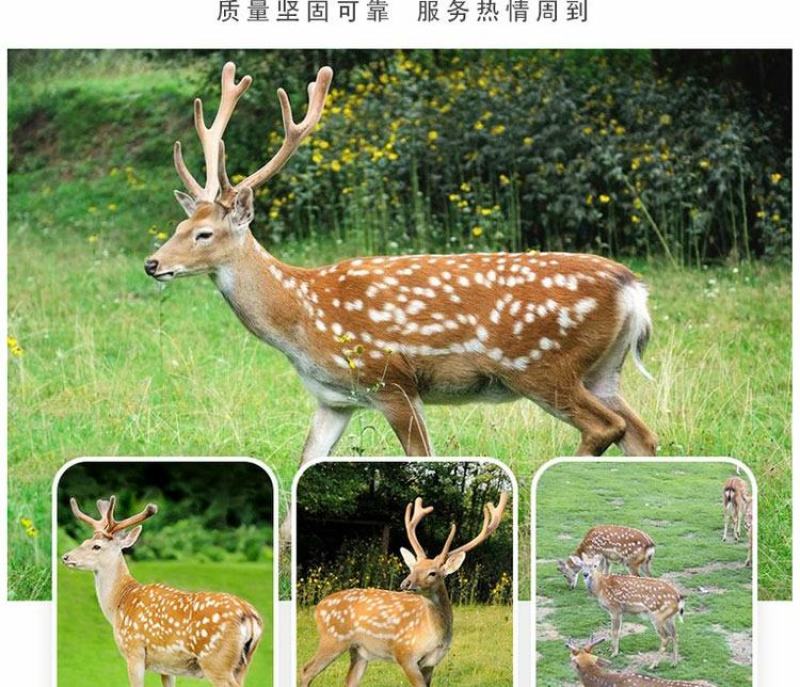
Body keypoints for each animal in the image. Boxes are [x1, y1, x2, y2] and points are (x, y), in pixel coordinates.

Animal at [61, 496, 263, 687]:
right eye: (84, 541)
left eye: (96, 546)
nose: (65, 557)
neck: (119, 602)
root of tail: (250, 616)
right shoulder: (167, 666)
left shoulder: (134, 649)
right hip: (243, 663)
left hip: (216, 660)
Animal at [143, 62, 658, 539]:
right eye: (178, 226)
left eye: (204, 234)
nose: (152, 263)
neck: (303, 319)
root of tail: (633, 289)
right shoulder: (334, 399)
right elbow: (299, 481)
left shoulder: (392, 380)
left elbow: (422, 457)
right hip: (601, 370)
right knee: (642, 436)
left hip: (542, 365)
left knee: (606, 427)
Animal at [299, 492, 509, 686]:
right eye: (413, 568)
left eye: (433, 573)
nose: (405, 584)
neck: (434, 636)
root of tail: (318, 607)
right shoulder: (404, 654)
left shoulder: (431, 663)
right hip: (333, 639)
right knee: (306, 670)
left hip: (359, 651)